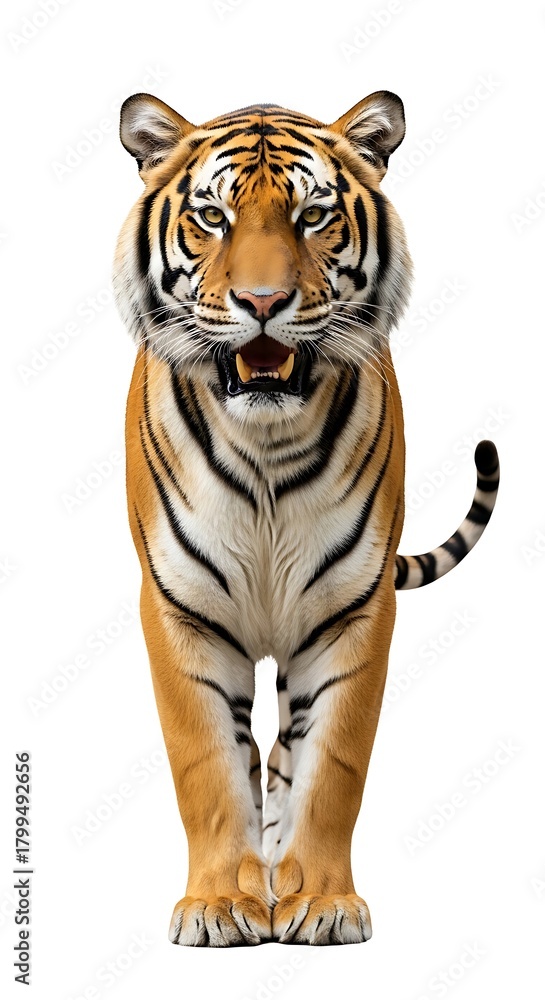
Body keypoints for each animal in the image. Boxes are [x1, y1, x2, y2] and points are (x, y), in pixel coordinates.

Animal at [113, 91, 499, 947]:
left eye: (313, 214)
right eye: (213, 216)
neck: (265, 444)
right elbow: (205, 765)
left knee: (286, 757)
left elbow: (332, 767)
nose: (262, 304)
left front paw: (320, 901)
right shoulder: (180, 608)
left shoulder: (353, 608)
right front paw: (216, 905)